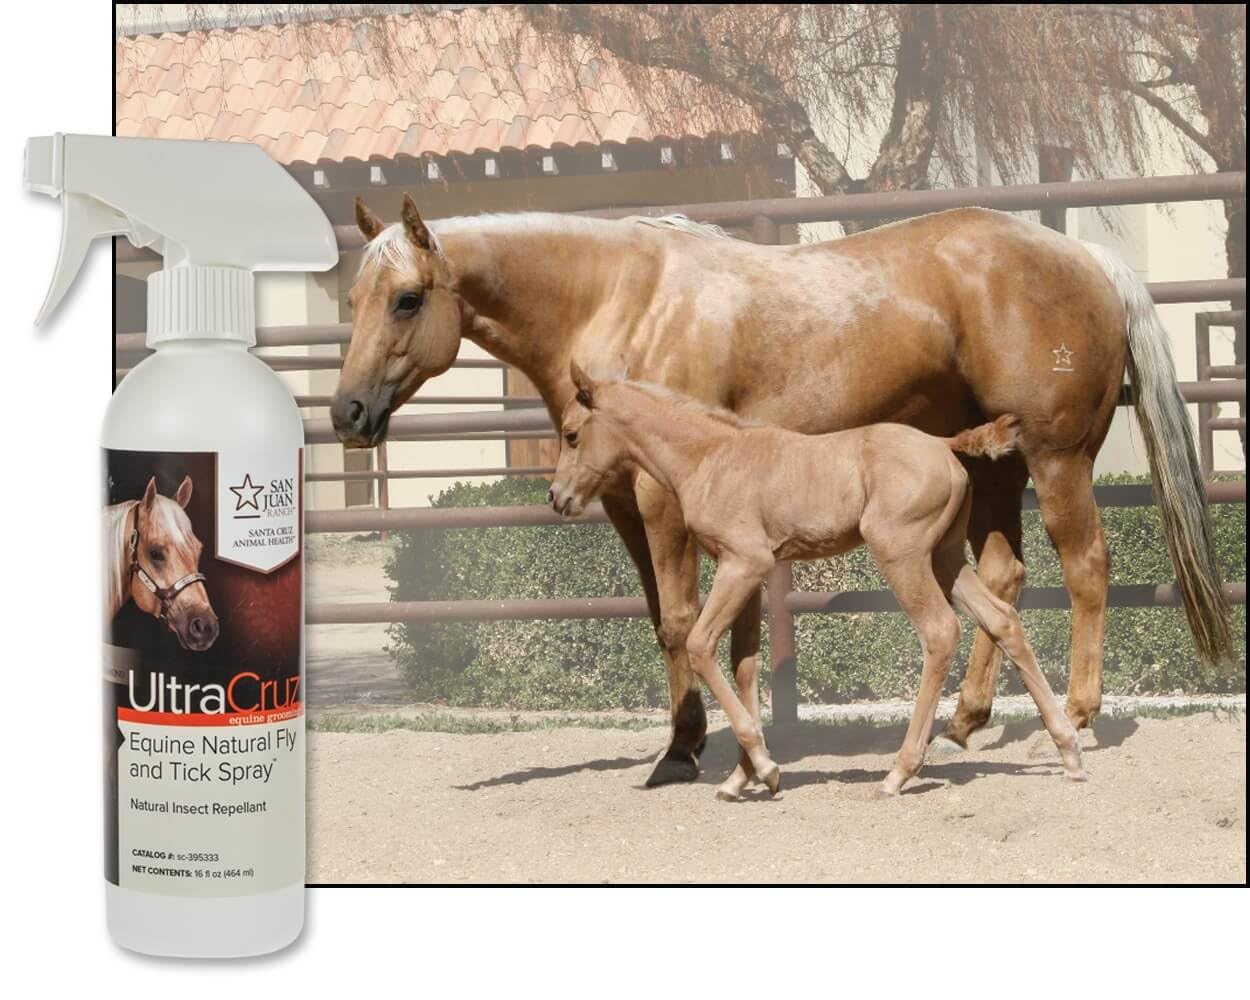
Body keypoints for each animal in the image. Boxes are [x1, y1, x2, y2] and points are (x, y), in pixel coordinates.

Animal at [550, 363, 1086, 798]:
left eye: (572, 434)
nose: (557, 497)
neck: (710, 457)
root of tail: (942, 443)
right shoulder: (748, 571)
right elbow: (745, 664)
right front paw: (742, 777)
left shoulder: (742, 564)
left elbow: (701, 646)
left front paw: (765, 769)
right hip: (945, 557)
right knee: (1003, 620)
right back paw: (1068, 751)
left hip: (903, 555)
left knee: (939, 632)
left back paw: (900, 771)